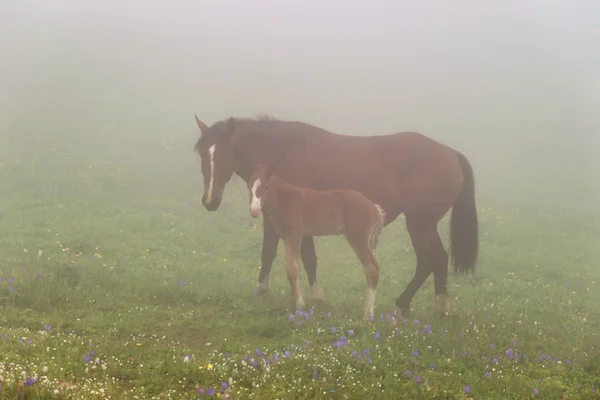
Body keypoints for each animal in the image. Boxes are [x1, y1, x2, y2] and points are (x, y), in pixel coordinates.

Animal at [247, 162, 384, 318]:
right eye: (249, 185)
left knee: (372, 269)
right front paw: (294, 303)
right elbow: (289, 270)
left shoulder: (295, 235)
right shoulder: (286, 238)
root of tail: (374, 207)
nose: (254, 211)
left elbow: (294, 269)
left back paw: (368, 313)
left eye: (266, 187)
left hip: (358, 239)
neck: (284, 200)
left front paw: (300, 305)